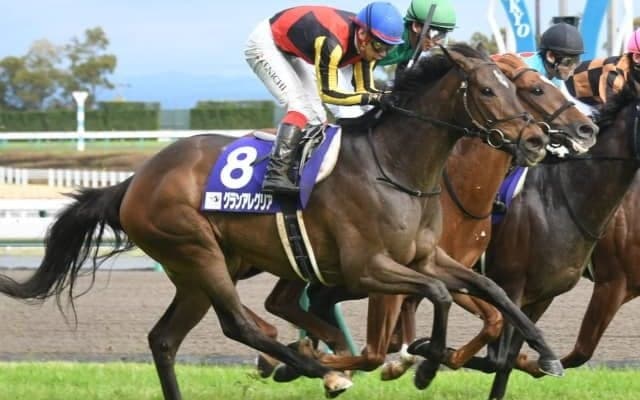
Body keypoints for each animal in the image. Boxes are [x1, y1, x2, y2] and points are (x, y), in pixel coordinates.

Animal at [0, 44, 554, 399]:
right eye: (487, 91)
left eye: (517, 89)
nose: (534, 140)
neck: (395, 166)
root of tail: (134, 180)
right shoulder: (368, 267)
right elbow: (434, 299)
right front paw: (426, 359)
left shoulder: (426, 257)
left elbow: (492, 291)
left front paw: (545, 352)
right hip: (197, 251)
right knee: (241, 324)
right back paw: (307, 364)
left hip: (200, 271)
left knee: (165, 340)